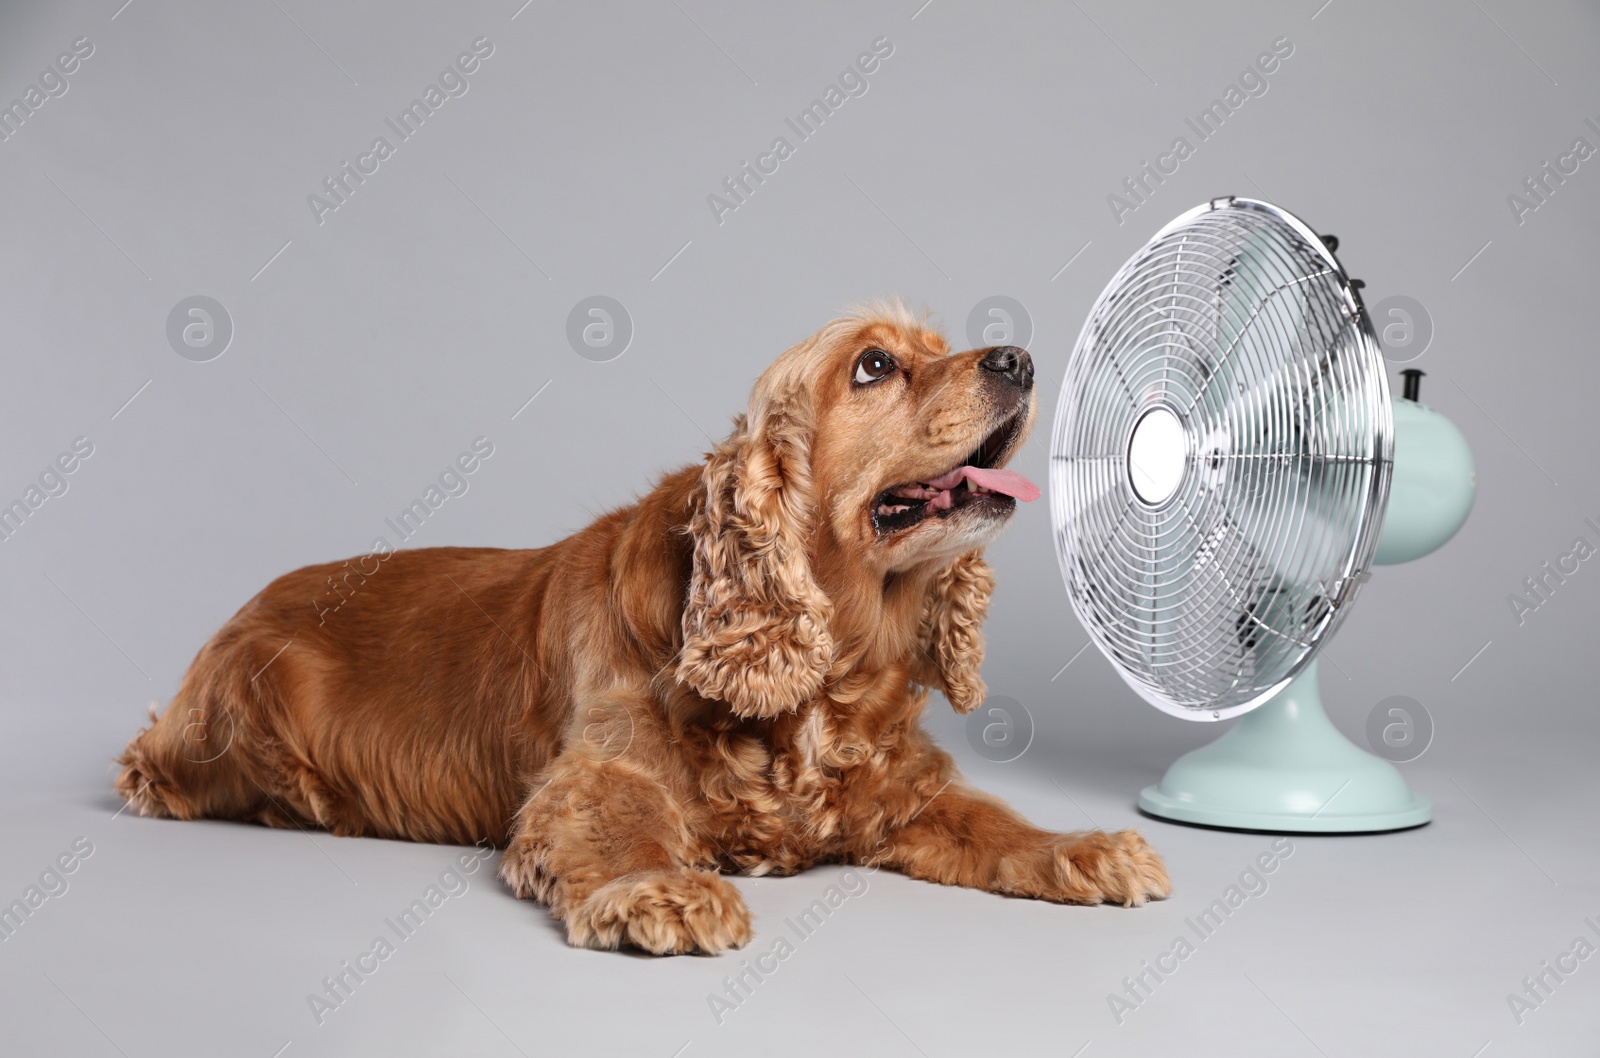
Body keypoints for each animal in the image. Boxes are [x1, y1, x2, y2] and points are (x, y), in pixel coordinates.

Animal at [109, 300, 1164, 953]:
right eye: (875, 365)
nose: (1019, 358)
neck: (826, 669)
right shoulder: (594, 774)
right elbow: (624, 830)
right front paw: (665, 891)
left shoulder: (899, 788)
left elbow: (995, 822)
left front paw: (1084, 849)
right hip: (244, 712)